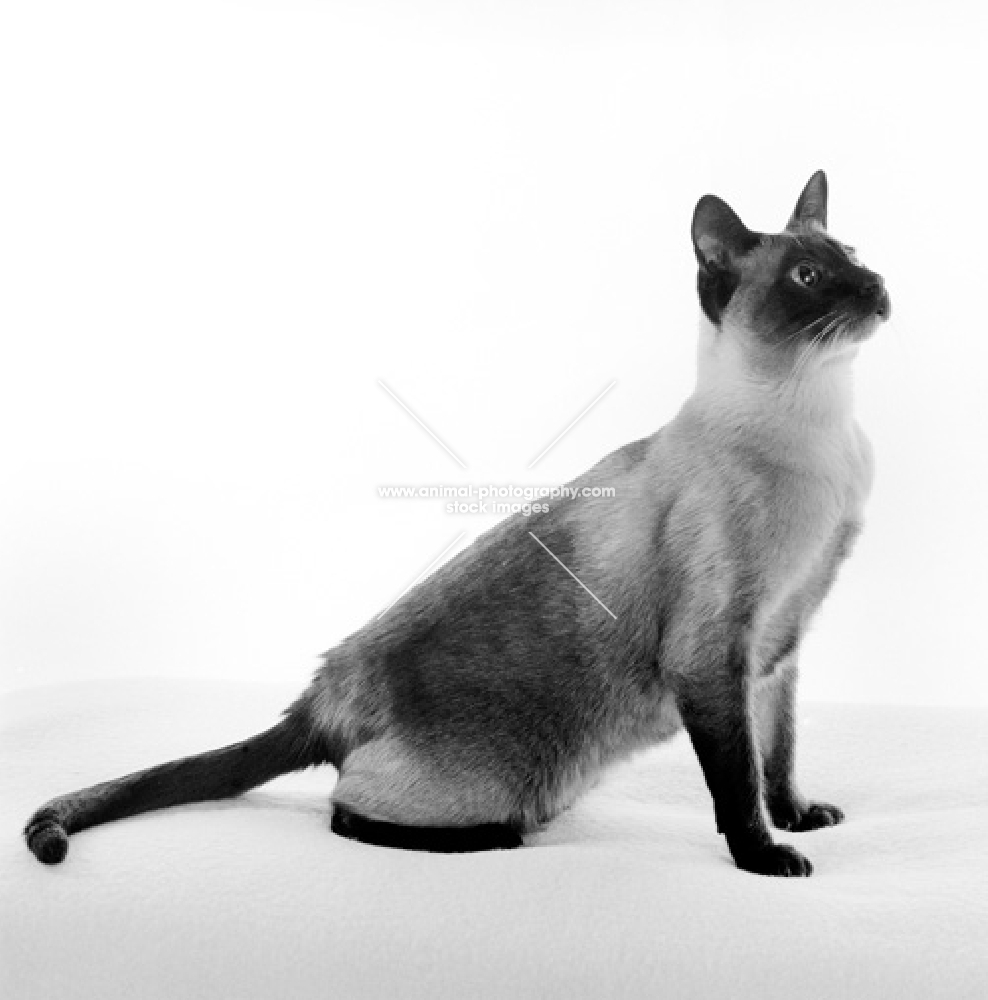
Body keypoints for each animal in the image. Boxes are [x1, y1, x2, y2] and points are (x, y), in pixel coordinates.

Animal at [23, 172, 888, 876]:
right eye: (810, 277)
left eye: (851, 256)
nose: (880, 287)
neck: (826, 430)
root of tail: (321, 694)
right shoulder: (714, 659)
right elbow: (737, 782)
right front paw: (766, 857)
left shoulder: (777, 650)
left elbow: (776, 756)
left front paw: (798, 820)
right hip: (506, 778)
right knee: (347, 810)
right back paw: (498, 837)